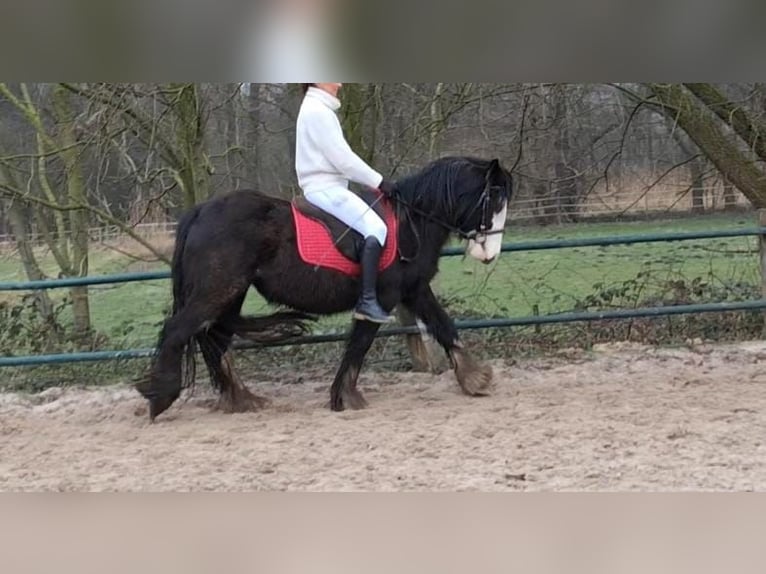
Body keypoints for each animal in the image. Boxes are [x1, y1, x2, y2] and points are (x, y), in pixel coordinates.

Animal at [135, 155, 512, 420]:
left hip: (230, 292)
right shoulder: (384, 297)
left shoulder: (415, 290)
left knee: (215, 336)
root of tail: (200, 212)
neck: (412, 222)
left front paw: (475, 378)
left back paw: (242, 397)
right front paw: (345, 396)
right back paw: (162, 397)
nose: (490, 254)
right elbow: (359, 344)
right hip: (218, 290)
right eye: (494, 200)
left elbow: (445, 326)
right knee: (181, 330)